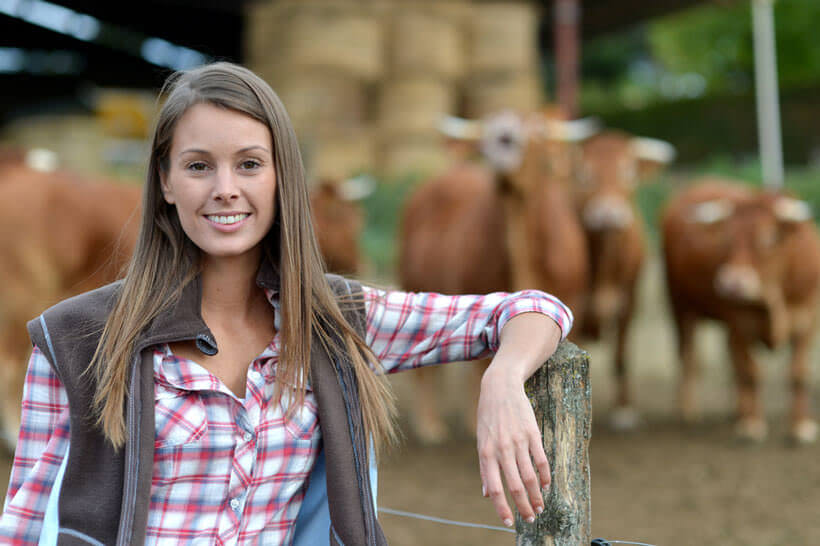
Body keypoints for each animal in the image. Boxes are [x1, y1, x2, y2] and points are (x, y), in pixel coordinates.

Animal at [398, 110, 596, 442]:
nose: (503, 136)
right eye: (486, 129)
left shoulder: (576, 300)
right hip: (412, 280)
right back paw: (429, 423)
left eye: (536, 132)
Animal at [572, 130, 676, 428]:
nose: (608, 213)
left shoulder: (629, 300)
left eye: (628, 172)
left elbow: (621, 355)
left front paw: (624, 410)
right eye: (584, 174)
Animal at [660, 178, 820, 442]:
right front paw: (751, 424)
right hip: (680, 305)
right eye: (726, 239)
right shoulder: (740, 325)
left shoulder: (806, 323)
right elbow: (750, 372)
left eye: (768, 238)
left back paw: (735, 411)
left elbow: (797, 373)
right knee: (688, 354)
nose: (731, 283)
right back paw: (689, 411)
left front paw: (800, 426)